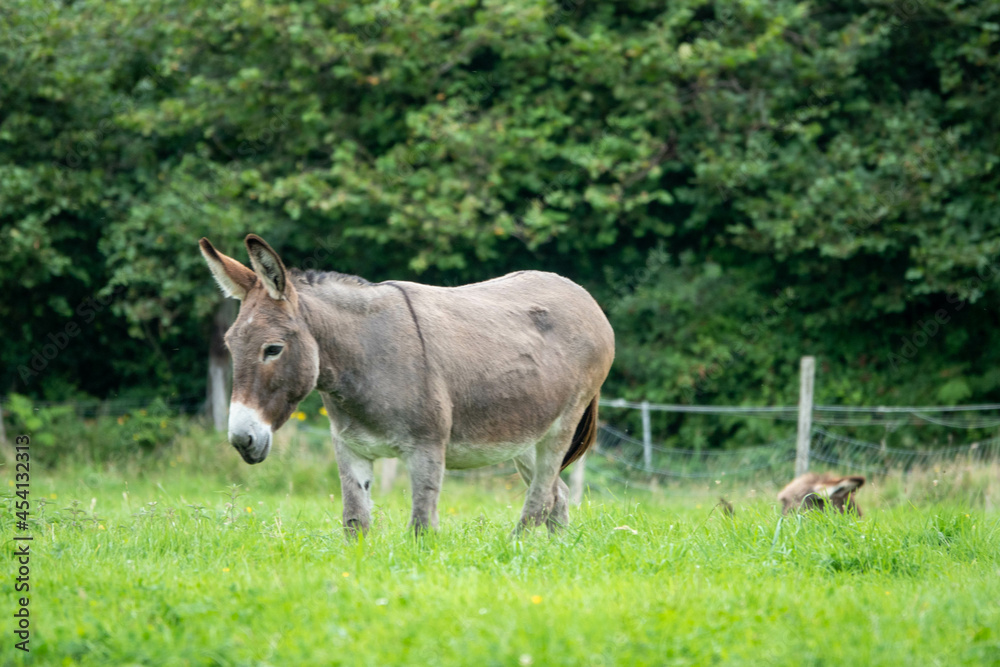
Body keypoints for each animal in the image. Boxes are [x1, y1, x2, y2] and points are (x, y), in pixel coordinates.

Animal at [199, 236, 612, 536]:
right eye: (230, 346)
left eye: (273, 349)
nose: (241, 440)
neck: (361, 360)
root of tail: (581, 294)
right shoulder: (350, 449)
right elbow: (355, 523)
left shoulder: (427, 449)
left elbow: (421, 527)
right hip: (524, 434)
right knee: (558, 494)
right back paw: (552, 553)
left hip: (561, 425)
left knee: (539, 499)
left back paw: (517, 550)